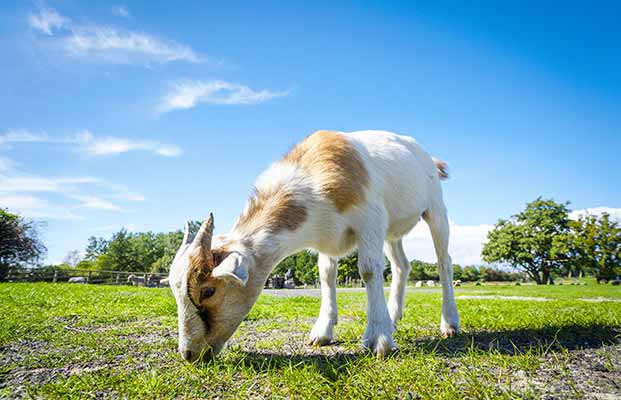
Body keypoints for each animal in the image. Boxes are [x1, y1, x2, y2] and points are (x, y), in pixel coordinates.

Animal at [167, 132, 458, 362]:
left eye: (208, 291)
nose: (189, 354)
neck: (311, 176)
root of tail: (428, 158)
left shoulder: (370, 220)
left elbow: (368, 270)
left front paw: (378, 339)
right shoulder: (327, 239)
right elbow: (326, 275)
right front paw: (322, 331)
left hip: (436, 209)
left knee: (444, 261)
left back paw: (449, 324)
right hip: (392, 233)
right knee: (401, 266)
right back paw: (394, 316)